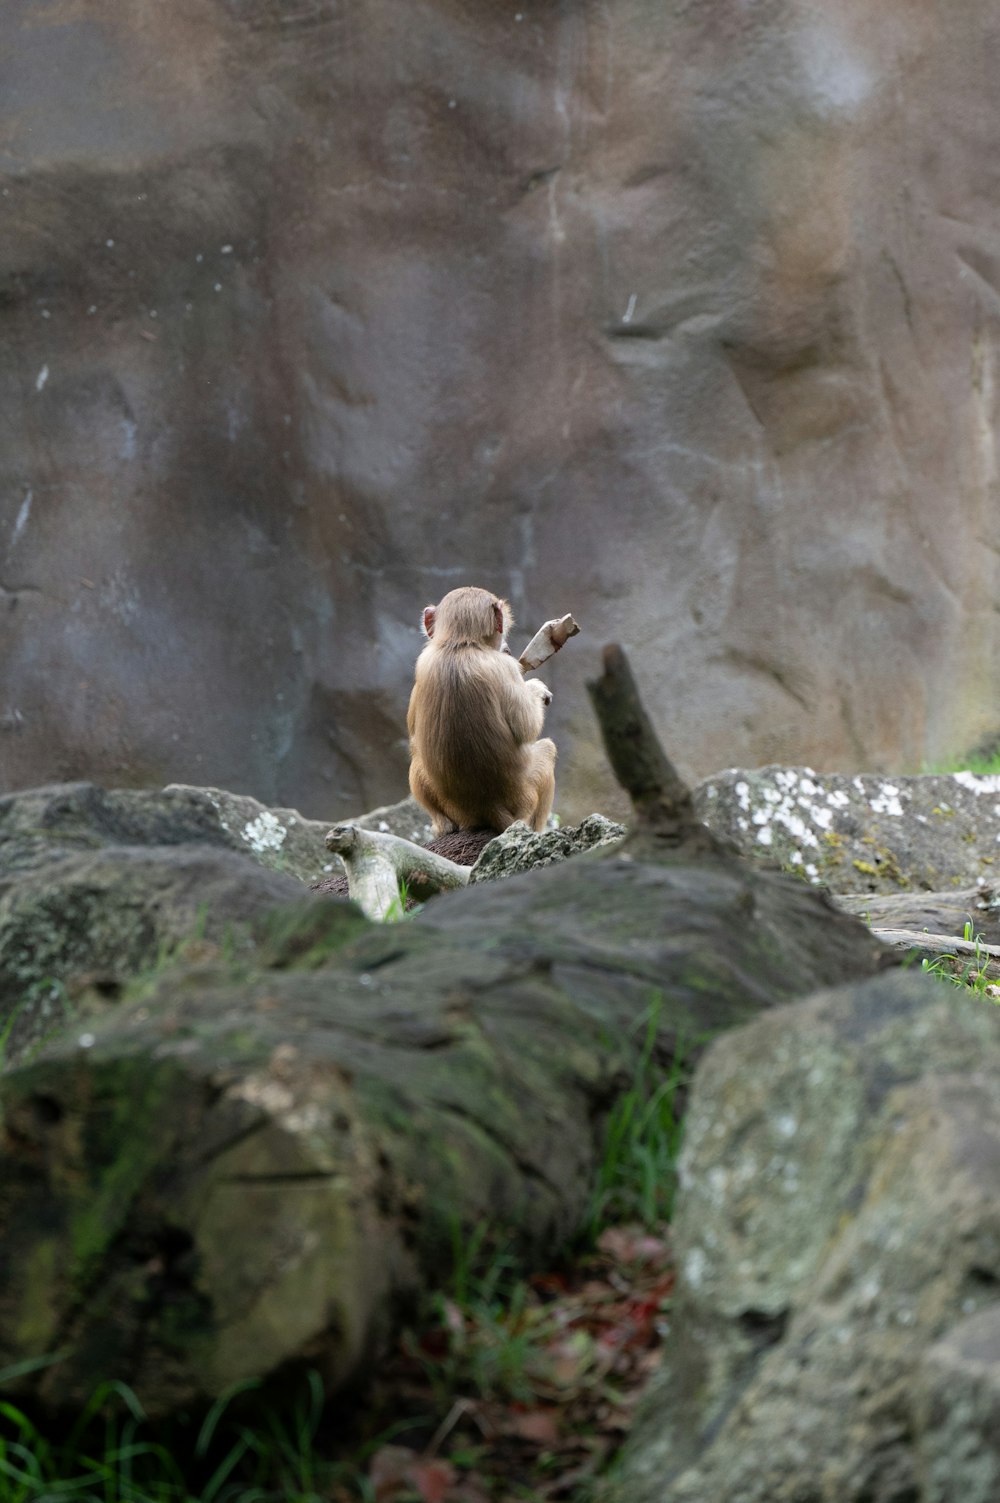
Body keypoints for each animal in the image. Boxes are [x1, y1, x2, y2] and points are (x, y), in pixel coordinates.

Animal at [409, 586, 556, 841]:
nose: (505, 645)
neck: (460, 645)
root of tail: (489, 807)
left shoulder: (423, 662)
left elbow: (413, 737)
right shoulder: (505, 666)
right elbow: (528, 728)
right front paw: (536, 688)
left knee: (416, 760)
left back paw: (443, 826)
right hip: (526, 797)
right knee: (547, 750)